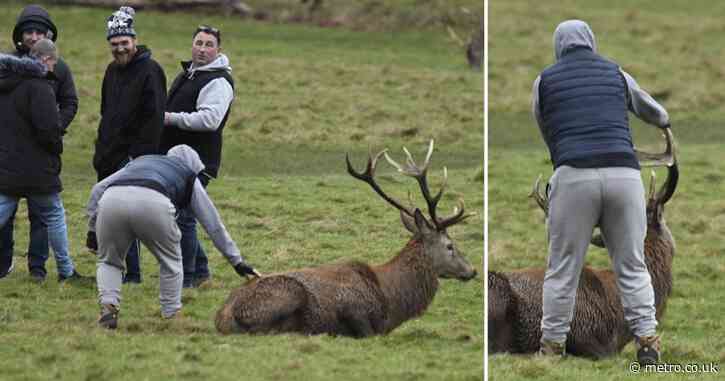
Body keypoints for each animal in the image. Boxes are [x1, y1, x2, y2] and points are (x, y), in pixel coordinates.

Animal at [215, 140, 476, 336]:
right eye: (450, 245)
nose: (472, 270)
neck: (391, 300)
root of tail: (222, 317)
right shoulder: (355, 312)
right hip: (287, 294)